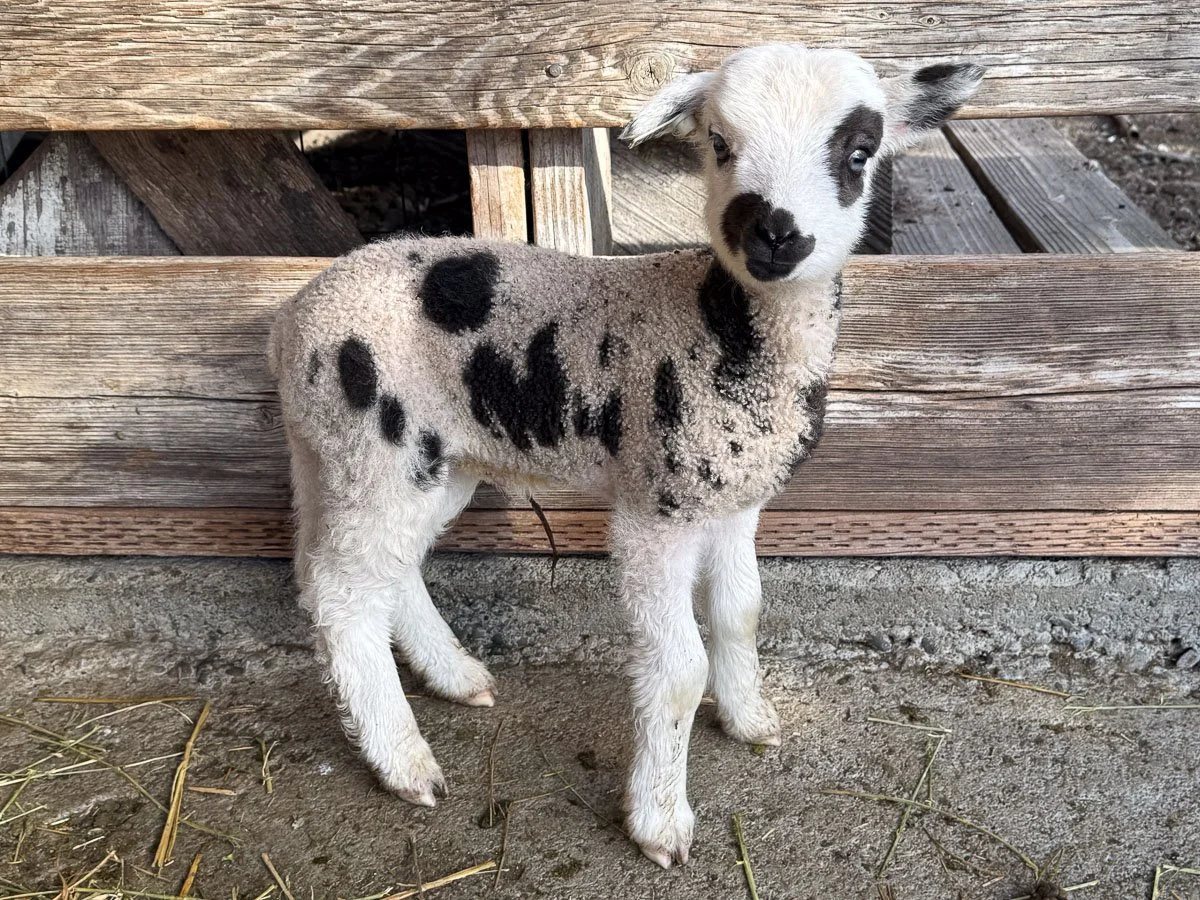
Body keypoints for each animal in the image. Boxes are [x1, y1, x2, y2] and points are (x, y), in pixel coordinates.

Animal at [269, 42, 983, 867]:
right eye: (719, 145)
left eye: (859, 153)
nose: (771, 232)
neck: (720, 329)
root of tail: (291, 323)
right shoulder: (656, 509)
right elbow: (678, 671)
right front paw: (661, 820)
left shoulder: (733, 501)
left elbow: (741, 612)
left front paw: (751, 718)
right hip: (378, 447)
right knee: (344, 595)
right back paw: (405, 762)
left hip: (405, 459)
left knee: (383, 570)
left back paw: (455, 676)